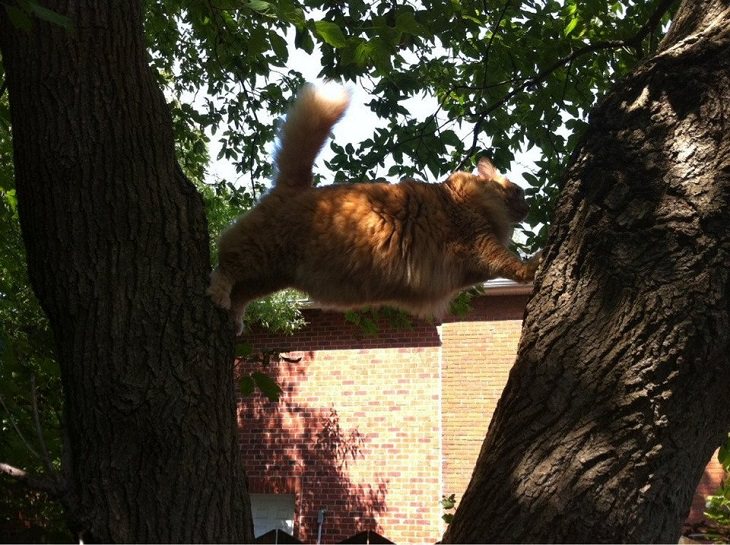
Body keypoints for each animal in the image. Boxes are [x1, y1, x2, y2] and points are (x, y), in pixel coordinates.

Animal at [208, 83, 536, 334]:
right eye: (519, 192)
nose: (529, 206)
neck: (470, 198)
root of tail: (294, 186)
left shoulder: (472, 268)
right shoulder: (480, 244)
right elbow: (512, 264)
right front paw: (534, 265)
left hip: (271, 275)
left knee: (241, 293)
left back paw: (235, 320)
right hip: (257, 254)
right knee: (223, 271)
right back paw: (218, 297)